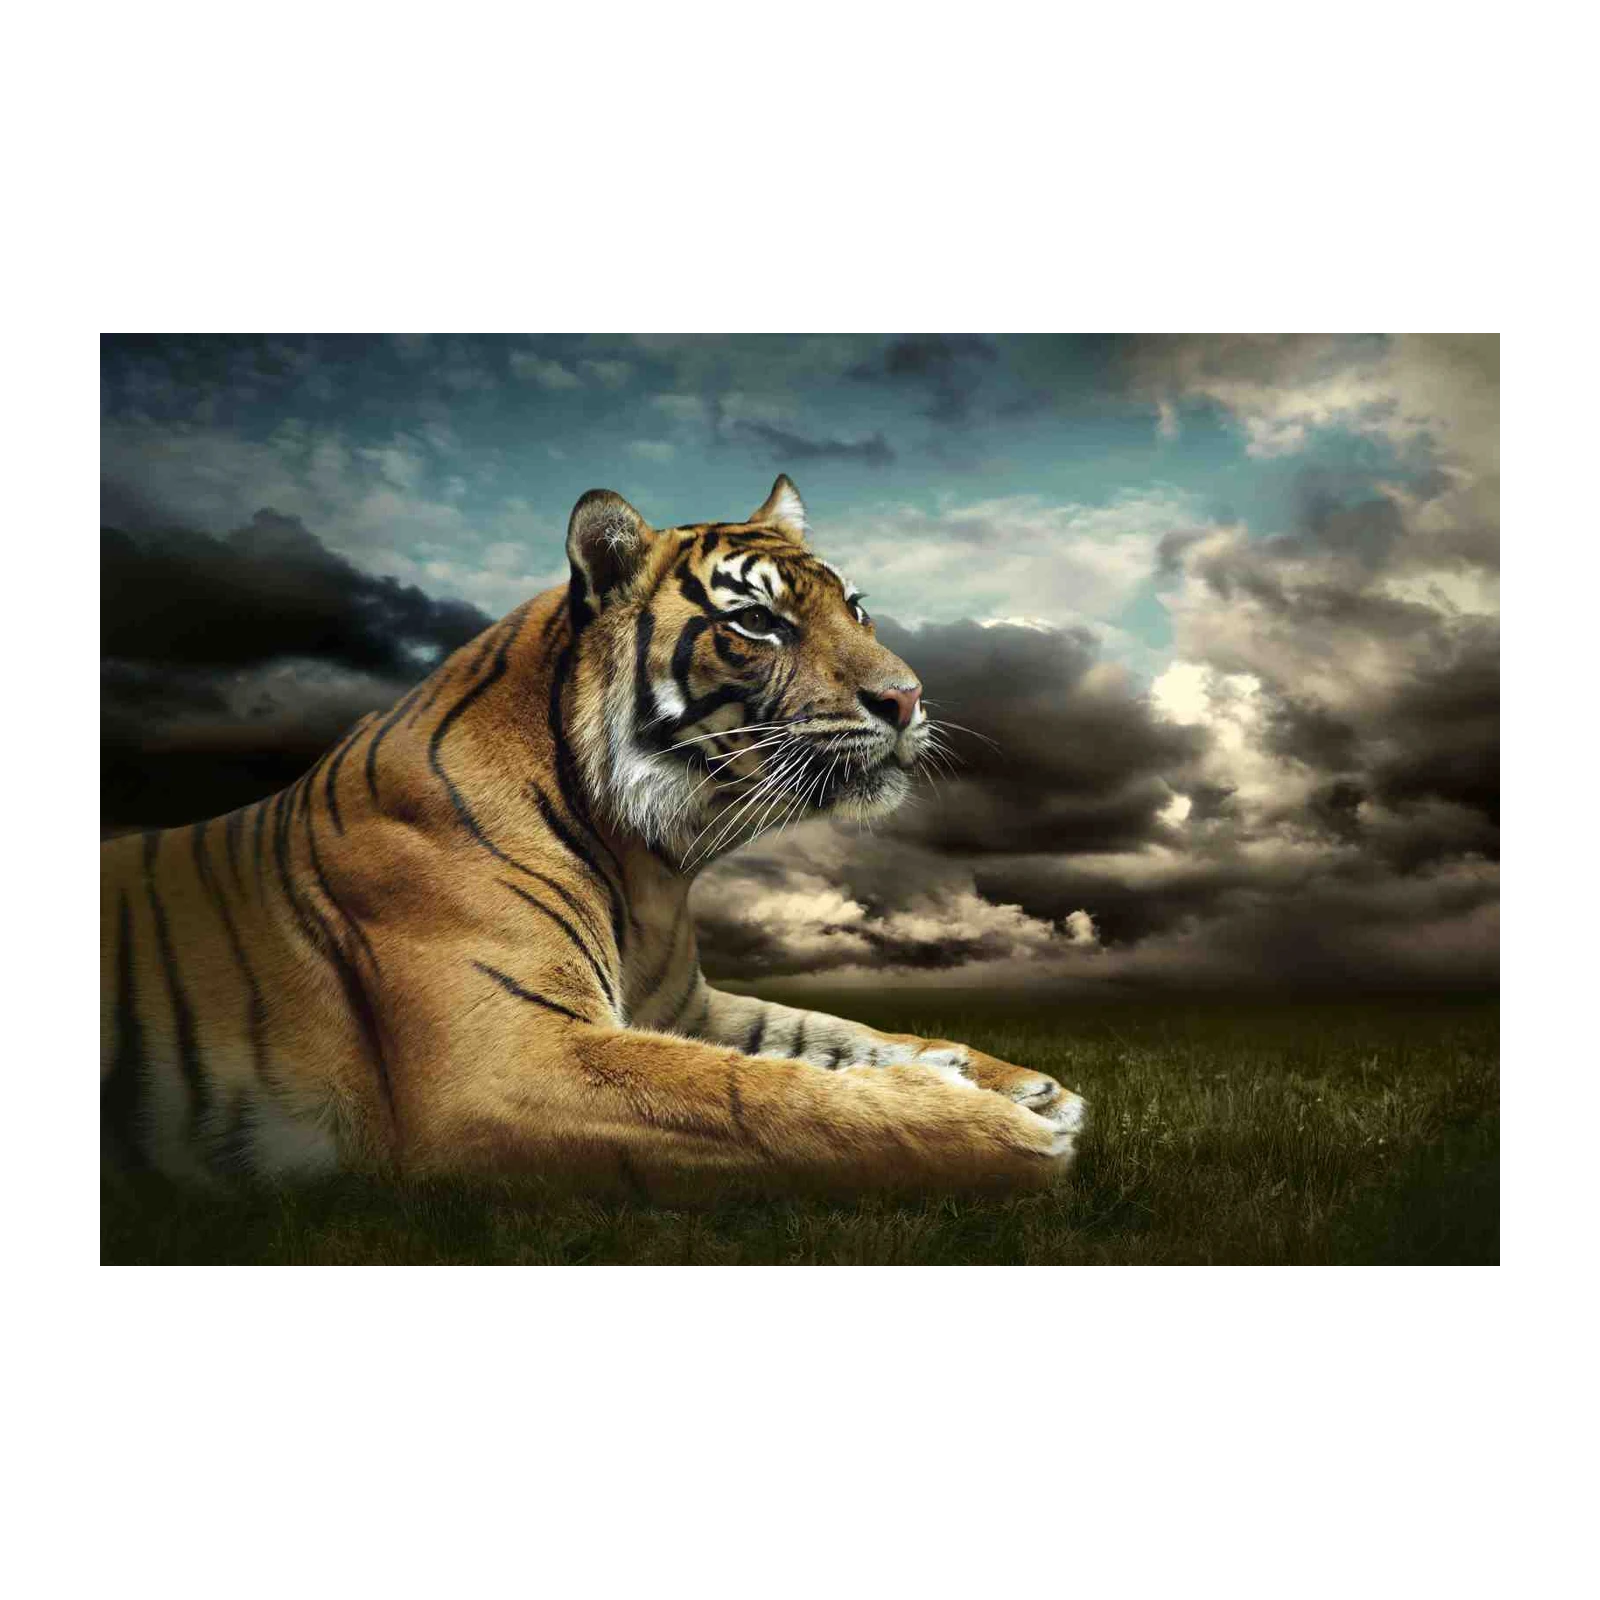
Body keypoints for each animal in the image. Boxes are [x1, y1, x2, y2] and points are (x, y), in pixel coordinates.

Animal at [97, 474, 1088, 1201]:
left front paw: (1019, 1084)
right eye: (756, 621)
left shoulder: (683, 1009)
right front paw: (1004, 1131)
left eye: (858, 608)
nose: (908, 698)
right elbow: (766, 1099)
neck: (649, 861)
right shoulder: (506, 1061)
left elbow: (834, 1036)